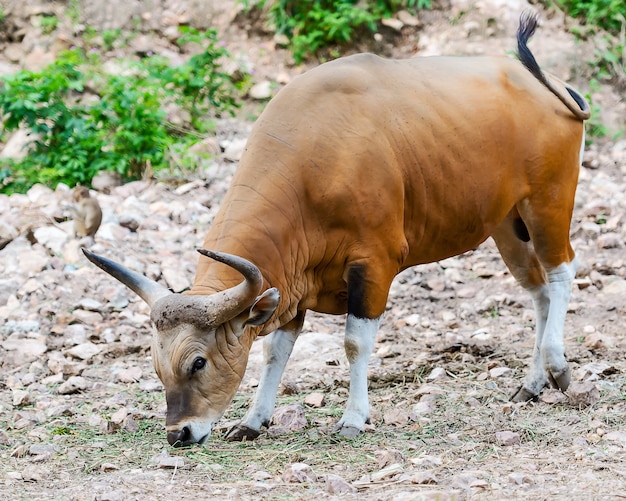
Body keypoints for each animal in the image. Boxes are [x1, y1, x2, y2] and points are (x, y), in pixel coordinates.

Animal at [83, 12, 584, 446]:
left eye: (198, 362)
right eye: (156, 364)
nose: (179, 434)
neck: (315, 159)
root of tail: (547, 84)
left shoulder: (375, 265)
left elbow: (354, 343)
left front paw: (353, 418)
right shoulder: (291, 280)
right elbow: (275, 351)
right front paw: (253, 420)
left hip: (548, 202)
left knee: (562, 273)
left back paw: (558, 367)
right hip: (506, 225)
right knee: (538, 291)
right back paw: (532, 383)